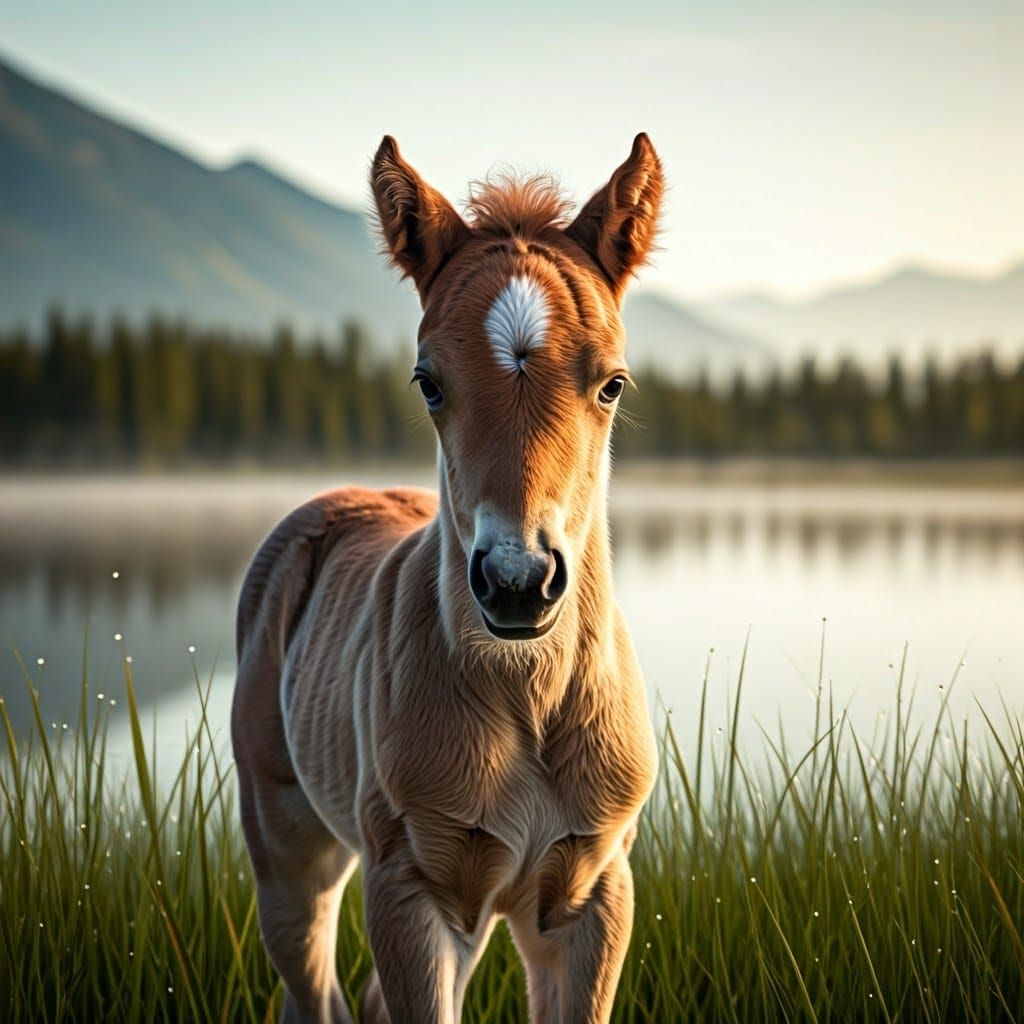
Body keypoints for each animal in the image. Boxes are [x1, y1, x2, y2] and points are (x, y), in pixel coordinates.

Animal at [231, 133, 663, 1024]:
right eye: (428, 382)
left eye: (612, 383)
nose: (517, 581)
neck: (527, 700)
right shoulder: (410, 888)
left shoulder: (593, 892)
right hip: (289, 847)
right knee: (311, 985)